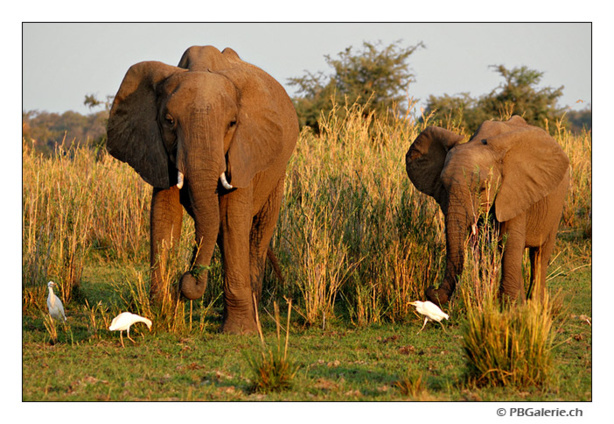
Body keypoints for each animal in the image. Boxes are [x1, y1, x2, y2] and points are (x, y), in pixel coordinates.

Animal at [406, 116, 572, 304]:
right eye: (443, 186)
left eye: (482, 188)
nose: (431, 290)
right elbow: (485, 247)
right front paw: (495, 301)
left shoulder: (515, 190)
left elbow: (510, 241)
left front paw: (509, 305)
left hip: (556, 206)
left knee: (540, 254)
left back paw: (535, 303)